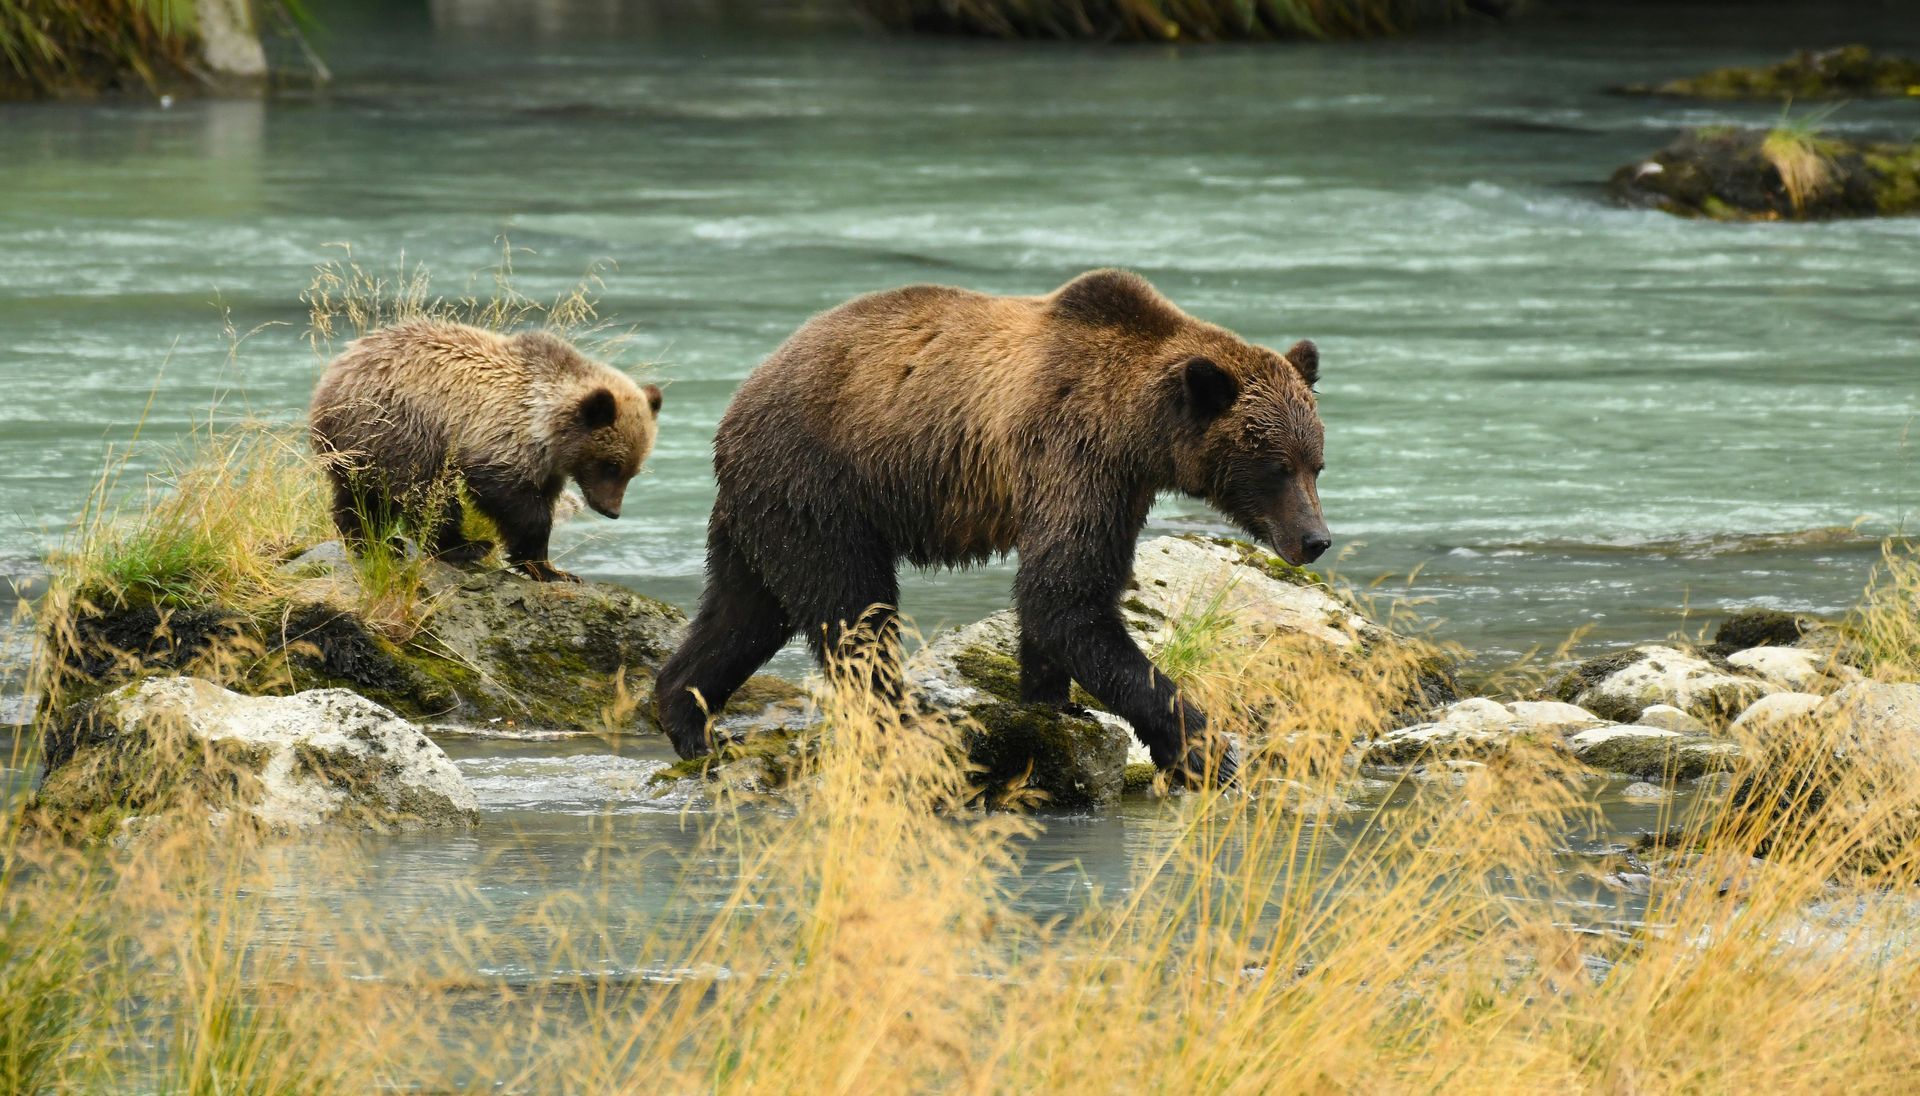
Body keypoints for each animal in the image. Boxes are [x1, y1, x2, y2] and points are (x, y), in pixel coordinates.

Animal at [309, 320, 662, 582]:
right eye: (611, 465)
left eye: (633, 470)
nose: (611, 510)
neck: (547, 429)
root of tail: (330, 381)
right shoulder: (500, 437)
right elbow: (514, 501)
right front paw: (544, 566)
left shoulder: (548, 466)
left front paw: (551, 568)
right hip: (400, 427)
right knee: (425, 492)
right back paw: (464, 546)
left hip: (361, 444)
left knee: (358, 494)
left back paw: (375, 540)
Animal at [654, 269, 1329, 784]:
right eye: (1277, 467)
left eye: (1317, 462)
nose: (1316, 540)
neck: (1137, 428)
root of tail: (735, 408)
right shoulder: (1073, 452)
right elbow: (1066, 597)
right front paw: (1205, 749)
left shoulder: (1119, 487)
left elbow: (1065, 599)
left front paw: (1052, 700)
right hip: (822, 487)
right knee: (853, 611)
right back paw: (903, 721)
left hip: (766, 513)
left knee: (743, 612)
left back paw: (692, 721)